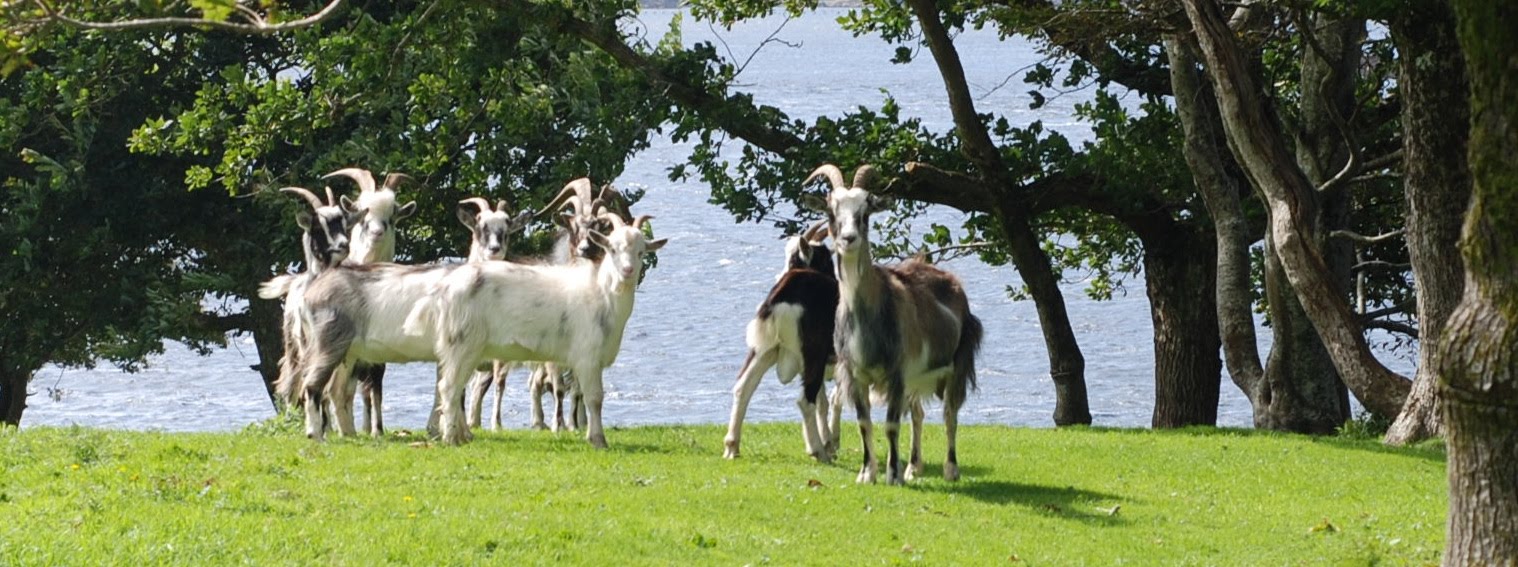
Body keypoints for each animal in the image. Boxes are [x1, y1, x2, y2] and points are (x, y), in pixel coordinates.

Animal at [401, 209, 667, 447]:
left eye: (641, 251)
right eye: (612, 249)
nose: (627, 271)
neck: (601, 293)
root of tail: (442, 288)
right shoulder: (586, 356)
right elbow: (594, 398)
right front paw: (598, 440)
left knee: (455, 389)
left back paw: (459, 436)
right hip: (461, 342)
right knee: (449, 388)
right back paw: (450, 438)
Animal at [724, 220, 844, 462]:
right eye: (826, 259)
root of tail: (783, 295)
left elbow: (825, 401)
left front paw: (829, 441)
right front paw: (830, 443)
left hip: (765, 348)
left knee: (743, 386)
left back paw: (732, 446)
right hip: (813, 352)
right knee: (805, 400)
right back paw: (818, 452)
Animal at [802, 163, 983, 485]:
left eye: (865, 211)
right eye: (831, 212)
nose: (848, 238)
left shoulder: (897, 373)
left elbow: (890, 425)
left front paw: (892, 475)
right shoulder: (855, 374)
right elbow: (864, 423)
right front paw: (867, 473)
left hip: (957, 363)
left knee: (950, 414)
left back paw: (950, 470)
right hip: (916, 378)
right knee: (918, 414)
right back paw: (914, 467)